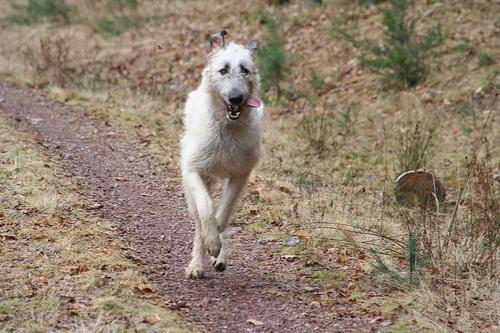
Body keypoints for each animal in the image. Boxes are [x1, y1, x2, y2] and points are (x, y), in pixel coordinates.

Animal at [181, 29, 266, 278]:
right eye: (223, 70)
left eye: (244, 69)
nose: (236, 98)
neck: (227, 127)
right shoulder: (194, 171)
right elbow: (206, 209)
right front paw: (210, 241)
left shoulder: (240, 175)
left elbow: (224, 212)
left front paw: (217, 245)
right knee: (199, 218)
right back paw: (197, 263)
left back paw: (219, 256)